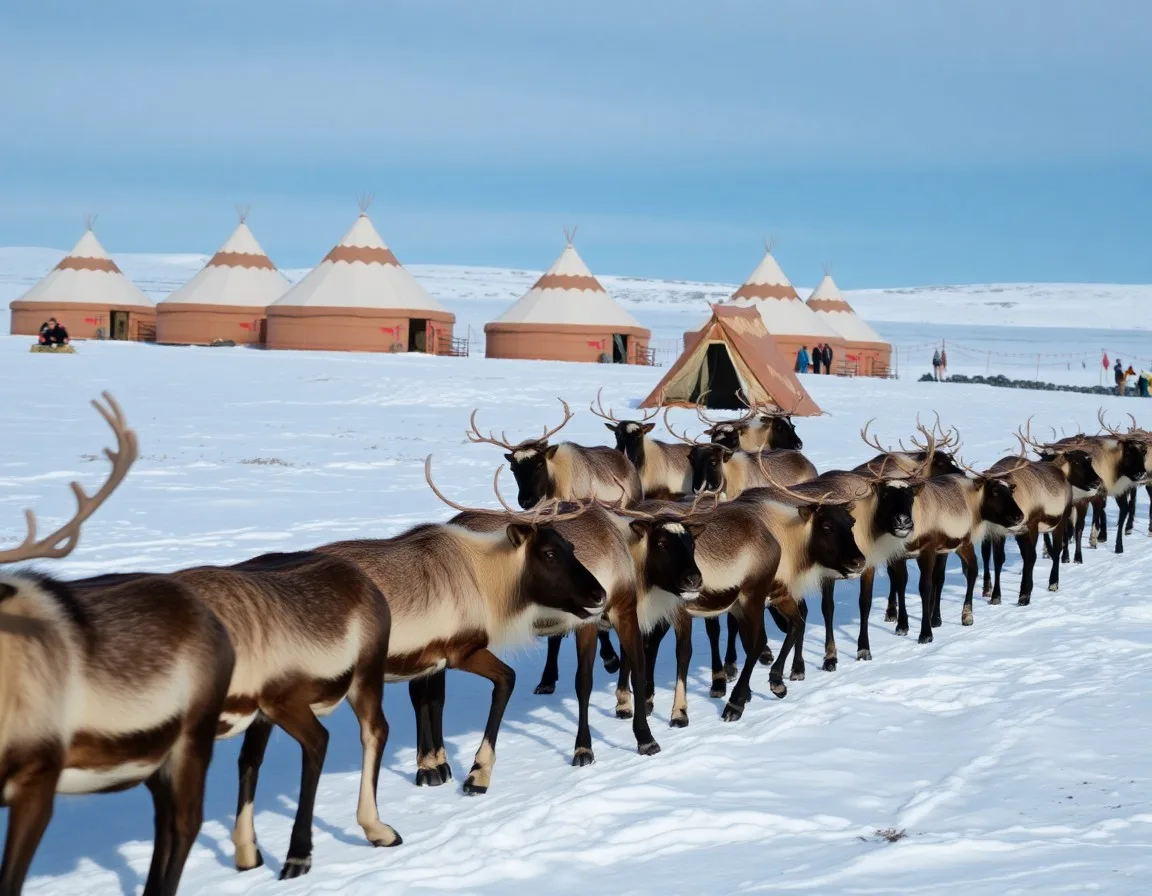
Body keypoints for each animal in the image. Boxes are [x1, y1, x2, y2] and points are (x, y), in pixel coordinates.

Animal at [0, 394, 235, 896]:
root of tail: (214, 621)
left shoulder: (39, 774)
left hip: (194, 733)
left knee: (186, 822)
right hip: (154, 758)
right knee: (164, 822)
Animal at [316, 457, 607, 795]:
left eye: (571, 547)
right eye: (548, 553)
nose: (600, 594)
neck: (488, 582)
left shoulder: (431, 657)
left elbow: (431, 700)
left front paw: (434, 768)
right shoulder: (461, 652)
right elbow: (506, 680)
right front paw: (477, 773)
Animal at [981, 421, 1103, 605]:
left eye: (1089, 460)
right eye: (1077, 462)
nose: (1098, 481)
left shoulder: (1024, 528)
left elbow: (1029, 556)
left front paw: (1025, 594)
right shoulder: (1012, 528)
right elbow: (1006, 559)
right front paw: (1001, 596)